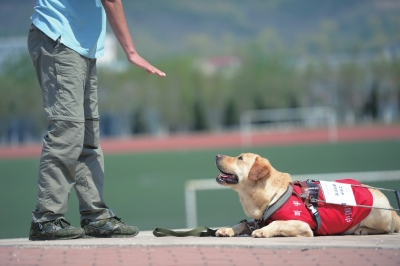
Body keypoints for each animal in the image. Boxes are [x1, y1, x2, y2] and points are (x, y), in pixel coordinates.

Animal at [216, 153, 400, 238]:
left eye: (240, 158)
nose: (217, 155)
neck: (272, 196)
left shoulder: (303, 225)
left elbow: (277, 223)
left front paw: (263, 231)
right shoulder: (257, 219)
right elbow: (242, 223)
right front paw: (227, 229)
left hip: (378, 211)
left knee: (387, 229)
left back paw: (363, 229)